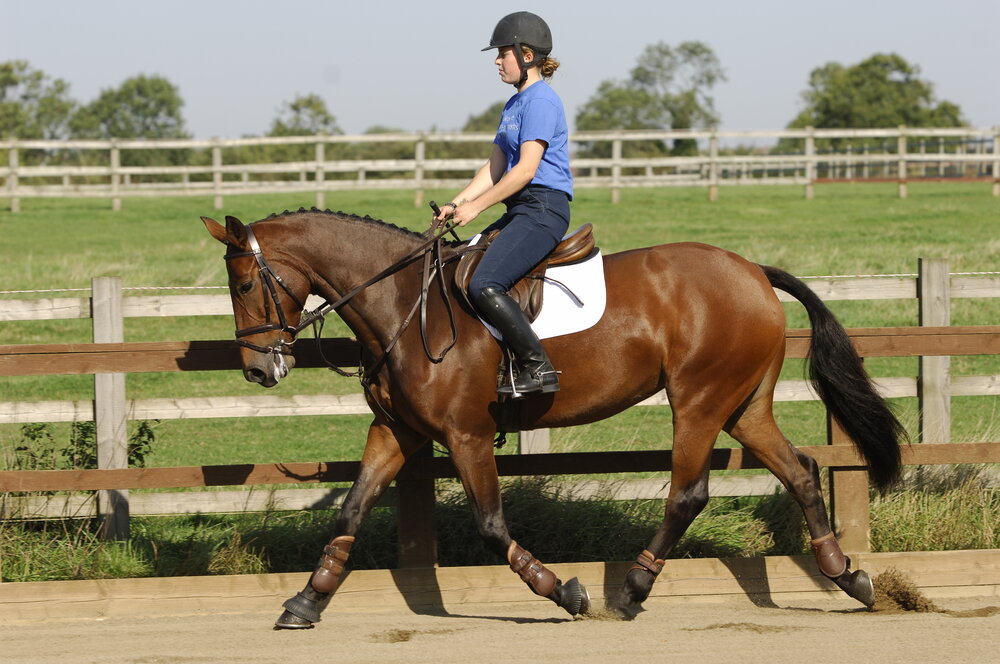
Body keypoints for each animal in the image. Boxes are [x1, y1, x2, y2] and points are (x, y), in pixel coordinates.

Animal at [202, 207, 905, 629]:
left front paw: (563, 591)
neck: (404, 306)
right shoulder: (396, 432)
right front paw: (307, 599)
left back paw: (633, 589)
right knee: (802, 471)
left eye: (244, 286)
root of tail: (752, 271)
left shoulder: (466, 435)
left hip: (700, 400)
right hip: (743, 407)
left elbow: (491, 525)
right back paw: (849, 577)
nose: (259, 371)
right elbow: (351, 510)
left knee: (688, 493)